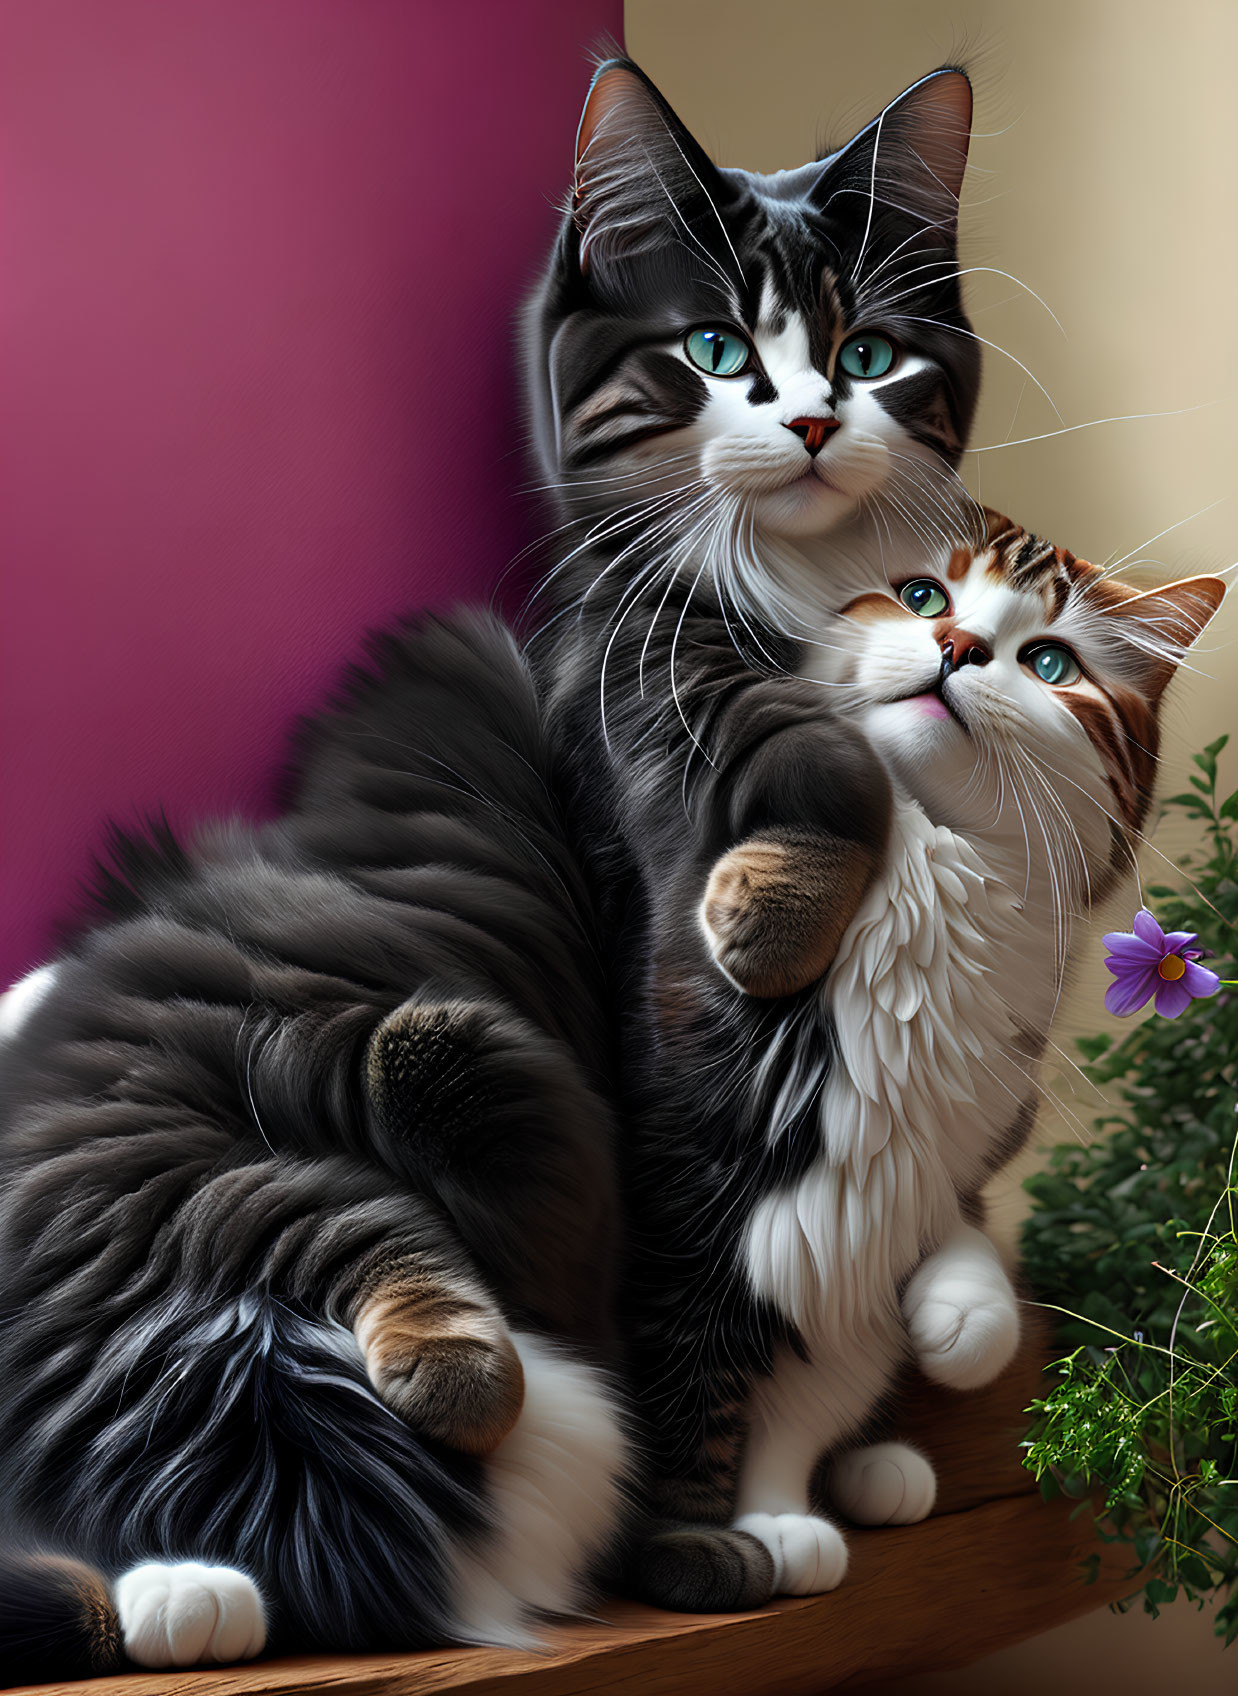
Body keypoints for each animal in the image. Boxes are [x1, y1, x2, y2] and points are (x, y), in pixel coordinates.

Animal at [522, 59, 1227, 1607]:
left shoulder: (897, 1184)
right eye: (919, 598)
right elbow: (694, 1369)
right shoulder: (705, 1169)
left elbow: (845, 1346)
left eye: (1049, 664)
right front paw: (701, 1548)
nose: (959, 649)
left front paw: (816, 1480)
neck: (932, 884)